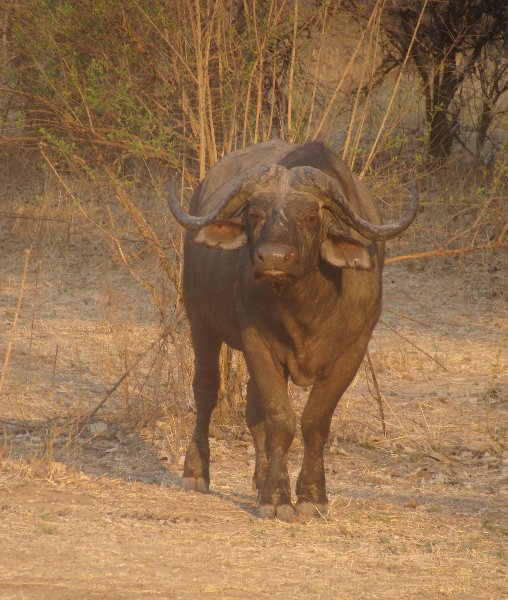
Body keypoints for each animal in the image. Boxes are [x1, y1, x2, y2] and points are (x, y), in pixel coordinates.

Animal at [167, 141, 416, 520]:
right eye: (254, 214)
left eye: (310, 217)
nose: (272, 258)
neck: (305, 309)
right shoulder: (257, 343)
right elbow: (280, 420)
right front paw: (277, 497)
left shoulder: (352, 352)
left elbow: (314, 422)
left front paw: (311, 496)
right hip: (201, 323)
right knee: (206, 392)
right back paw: (196, 472)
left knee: (252, 409)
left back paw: (258, 479)